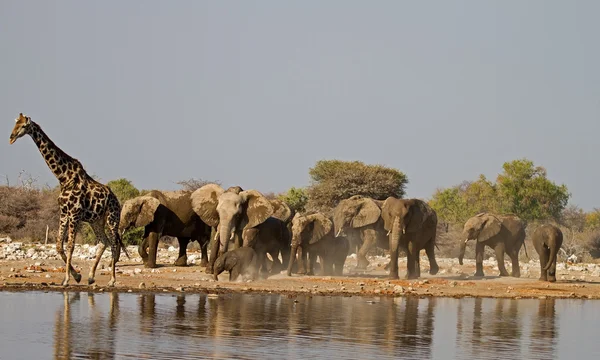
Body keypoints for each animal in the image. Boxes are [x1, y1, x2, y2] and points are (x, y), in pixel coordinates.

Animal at [8, 113, 128, 286]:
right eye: (15, 123)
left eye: (24, 126)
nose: (11, 137)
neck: (63, 177)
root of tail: (117, 200)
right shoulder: (64, 213)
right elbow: (59, 245)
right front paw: (76, 276)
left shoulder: (74, 214)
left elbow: (70, 245)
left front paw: (66, 279)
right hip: (96, 220)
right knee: (103, 241)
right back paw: (91, 277)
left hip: (112, 218)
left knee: (113, 243)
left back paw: (112, 280)